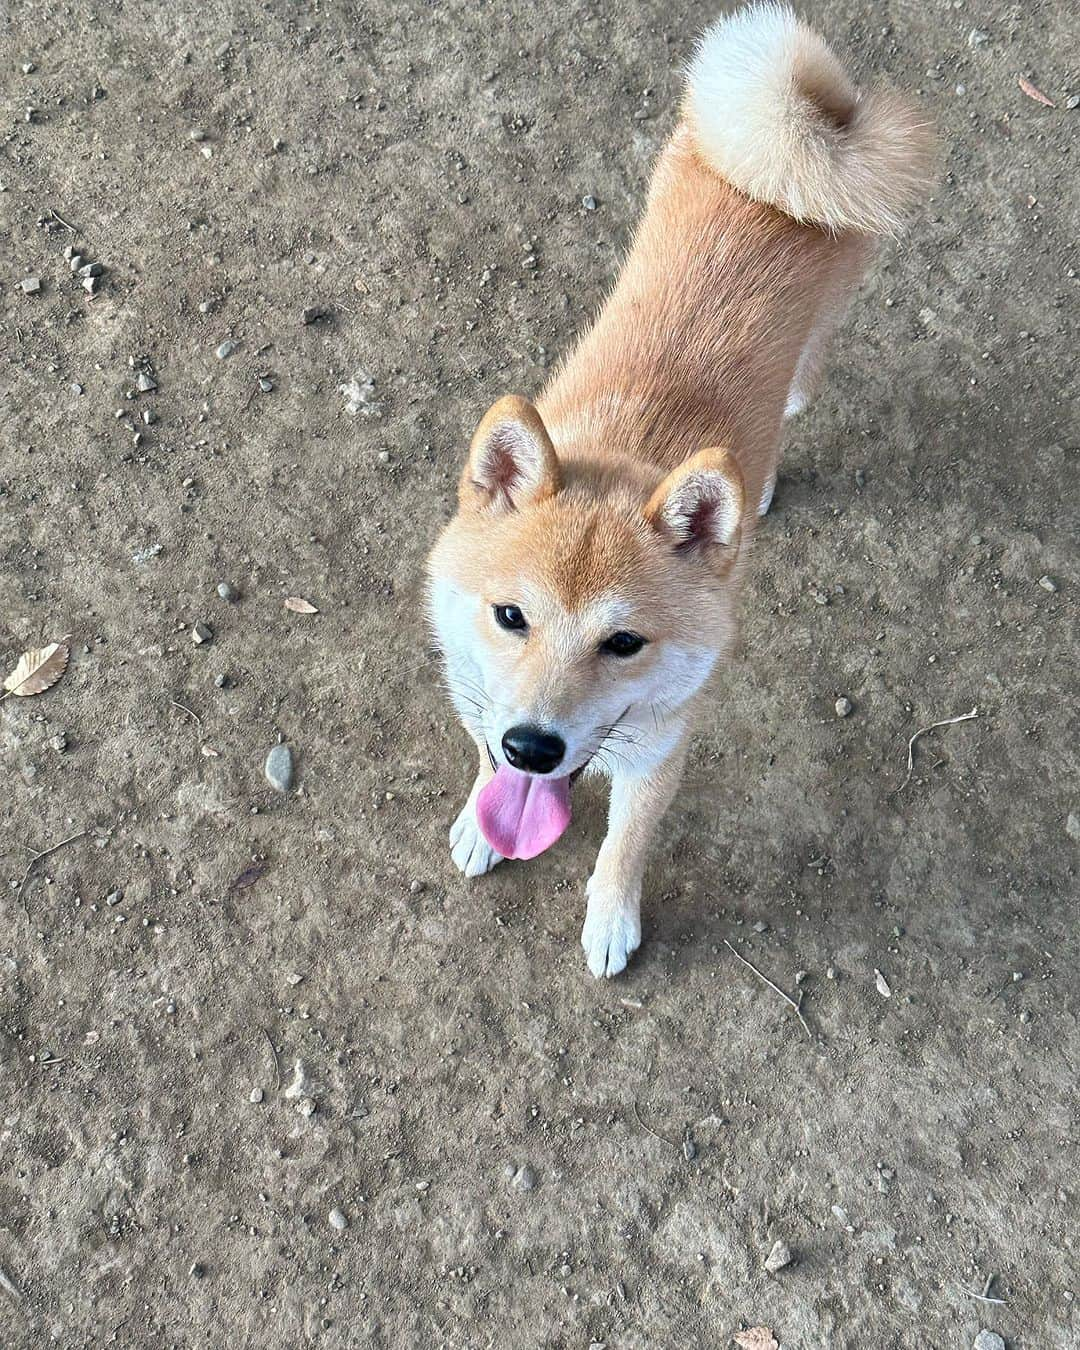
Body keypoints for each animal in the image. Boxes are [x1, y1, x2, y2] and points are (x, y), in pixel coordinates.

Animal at [426, 0, 934, 972]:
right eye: (510, 616)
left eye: (624, 642)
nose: (534, 746)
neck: (627, 449)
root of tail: (795, 134)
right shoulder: (480, 690)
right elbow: (477, 751)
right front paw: (479, 816)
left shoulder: (659, 754)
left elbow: (624, 847)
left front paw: (611, 919)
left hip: (823, 328)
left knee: (798, 392)